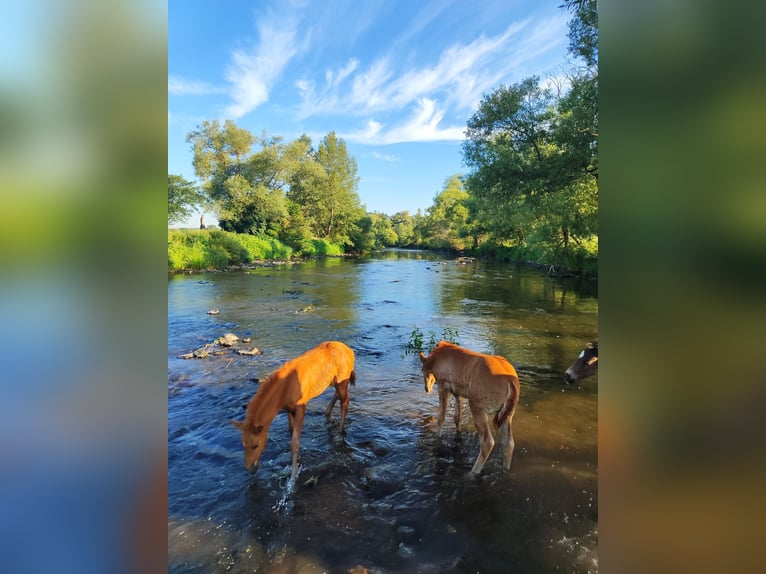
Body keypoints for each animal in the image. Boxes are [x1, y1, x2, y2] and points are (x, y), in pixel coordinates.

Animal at [231, 341, 356, 481]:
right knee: (338, 394)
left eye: (255, 445)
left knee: (345, 402)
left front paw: (293, 475)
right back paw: (328, 414)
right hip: (333, 380)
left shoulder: (301, 407)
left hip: (343, 380)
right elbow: (291, 432)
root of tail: (350, 351)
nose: (250, 469)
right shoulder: (288, 409)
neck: (283, 392)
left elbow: (294, 443)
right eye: (243, 444)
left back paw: (339, 432)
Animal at [419, 341, 520, 475]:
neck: (437, 356)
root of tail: (510, 380)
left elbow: (441, 417)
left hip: (478, 407)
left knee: (487, 442)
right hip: (508, 415)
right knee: (508, 443)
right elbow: (457, 418)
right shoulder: (458, 393)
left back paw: (473, 472)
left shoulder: (443, 386)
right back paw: (505, 469)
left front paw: (437, 438)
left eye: (423, 370)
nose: (426, 389)